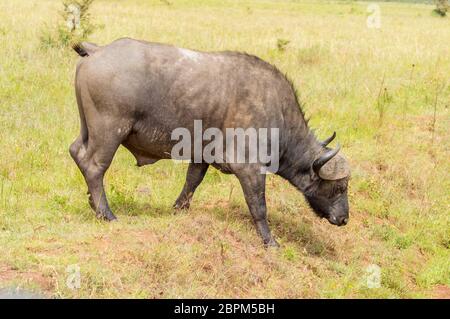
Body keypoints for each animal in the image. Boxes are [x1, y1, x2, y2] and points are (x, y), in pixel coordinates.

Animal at [71, 38, 352, 248]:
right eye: (339, 187)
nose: (343, 219)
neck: (278, 113)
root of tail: (98, 50)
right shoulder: (250, 169)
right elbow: (259, 205)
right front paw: (270, 241)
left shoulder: (202, 156)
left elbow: (192, 182)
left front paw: (178, 209)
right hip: (110, 131)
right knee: (93, 165)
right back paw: (106, 213)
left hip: (88, 129)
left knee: (76, 151)